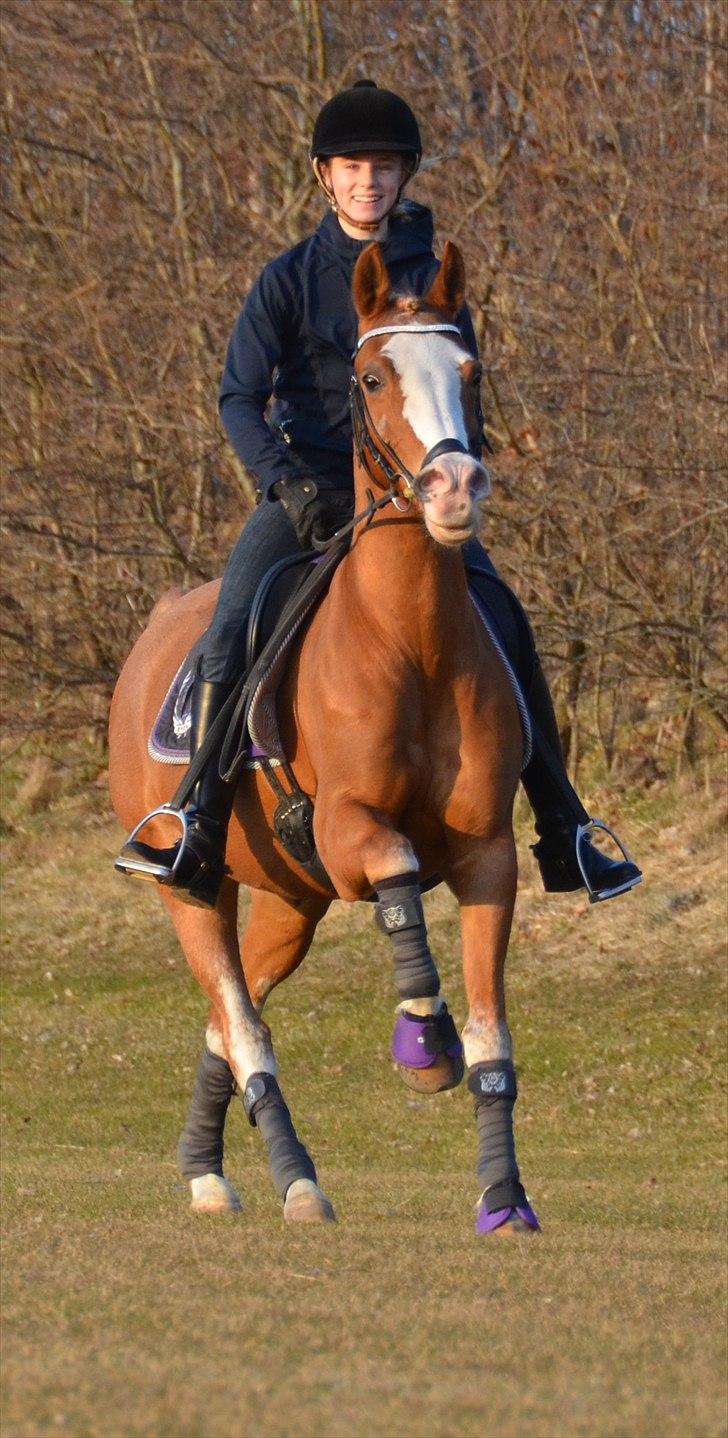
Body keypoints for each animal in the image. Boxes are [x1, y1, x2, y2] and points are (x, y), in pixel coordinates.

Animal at [109, 238, 540, 1236]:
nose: (455, 488)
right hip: (193, 890)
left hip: (289, 903)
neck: (408, 637)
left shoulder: (489, 856)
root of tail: (154, 630)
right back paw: (295, 1179)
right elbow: (397, 871)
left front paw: (504, 1198)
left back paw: (206, 1168)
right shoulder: (349, 832)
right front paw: (423, 1040)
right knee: (242, 1022)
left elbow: (493, 1038)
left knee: (229, 1022)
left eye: (471, 371)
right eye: (374, 377)